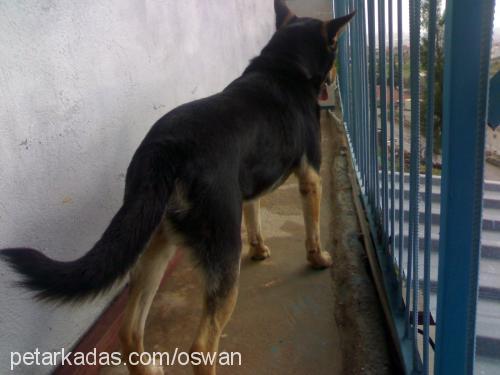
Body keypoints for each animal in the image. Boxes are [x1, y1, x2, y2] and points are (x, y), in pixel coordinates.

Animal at [0, 1, 352, 374]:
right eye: (334, 48)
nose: (332, 79)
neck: (284, 64)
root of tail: (166, 150)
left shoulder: (247, 187)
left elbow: (254, 214)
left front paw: (258, 248)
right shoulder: (311, 176)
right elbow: (312, 230)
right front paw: (318, 259)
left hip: (153, 243)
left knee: (128, 331)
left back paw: (147, 366)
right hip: (219, 254)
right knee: (201, 347)